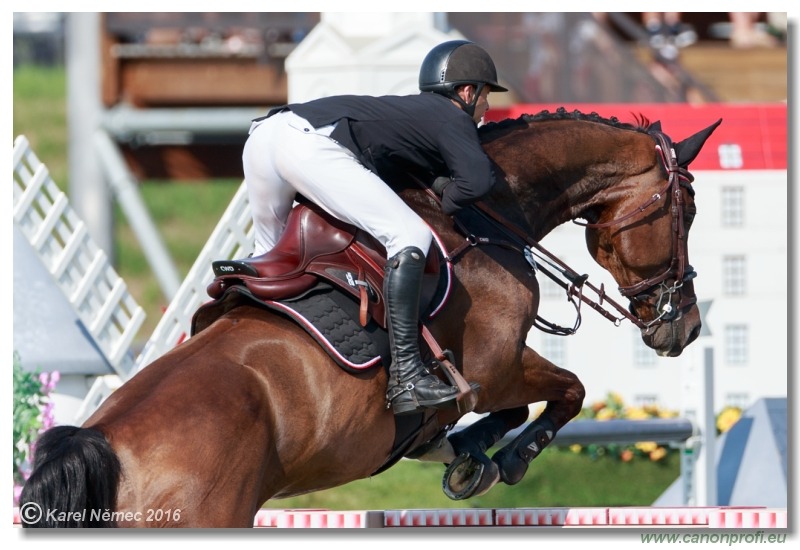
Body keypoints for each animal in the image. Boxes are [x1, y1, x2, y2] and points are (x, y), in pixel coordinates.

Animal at [18, 109, 720, 532]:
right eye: (686, 211)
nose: (683, 328)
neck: (483, 219)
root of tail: (98, 444)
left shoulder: (491, 376)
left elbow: (515, 410)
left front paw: (466, 454)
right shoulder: (494, 367)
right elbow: (567, 392)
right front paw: (507, 459)